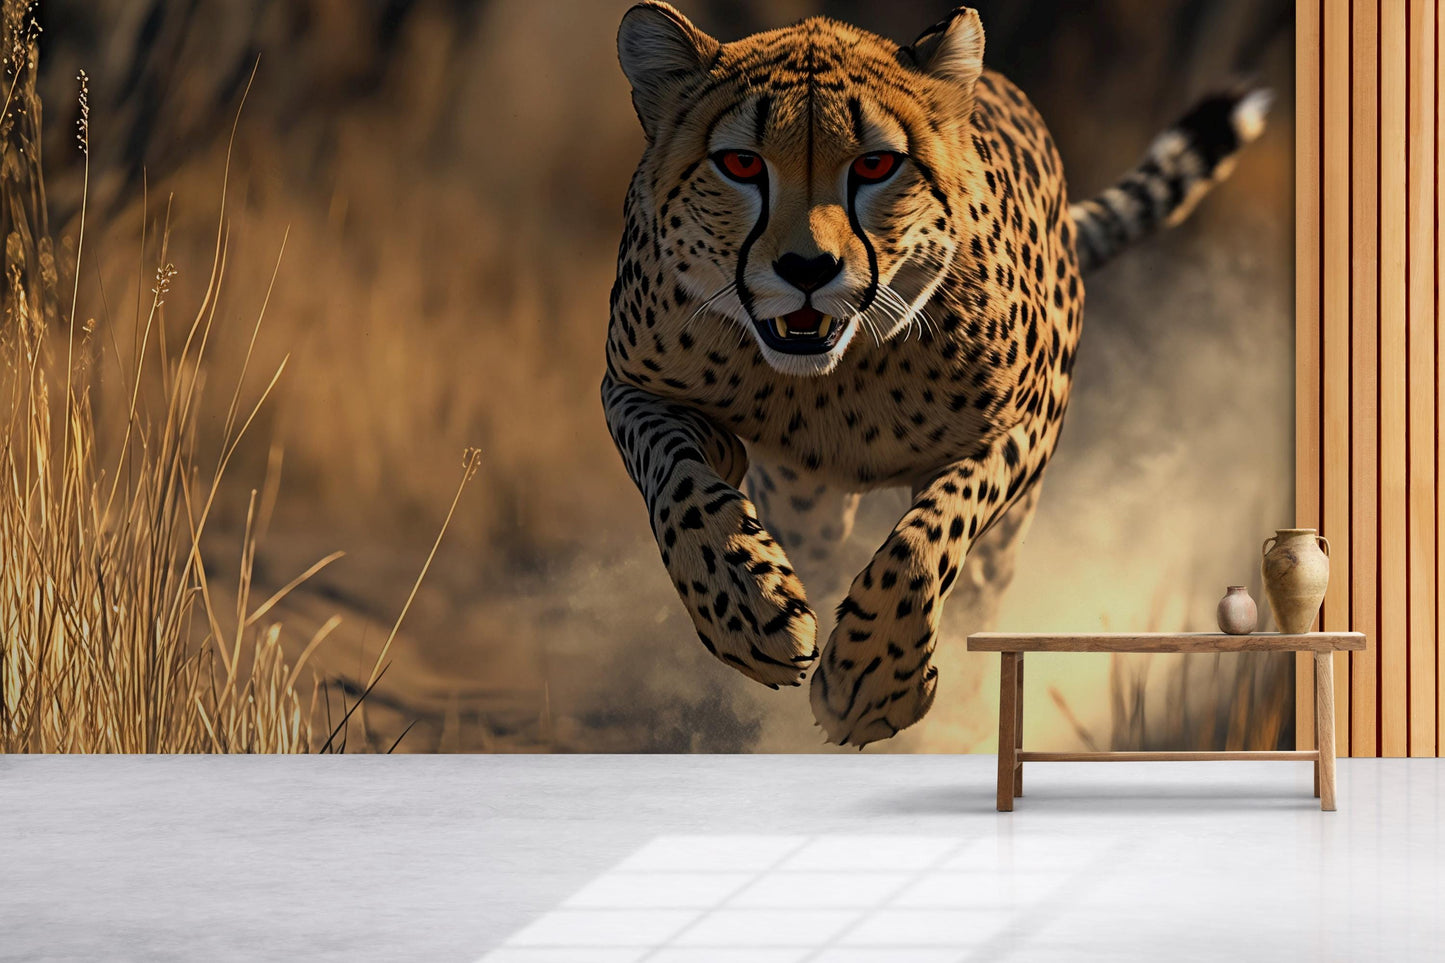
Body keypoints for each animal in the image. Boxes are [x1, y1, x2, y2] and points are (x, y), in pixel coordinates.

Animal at [601, 2, 1269, 747]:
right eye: (741, 163)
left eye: (876, 164)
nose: (807, 269)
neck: (832, 378)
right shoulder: (631, 389)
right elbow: (680, 484)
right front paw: (749, 604)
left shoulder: (1026, 425)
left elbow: (932, 531)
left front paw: (873, 677)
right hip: (806, 499)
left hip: (1000, 536)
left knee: (978, 585)